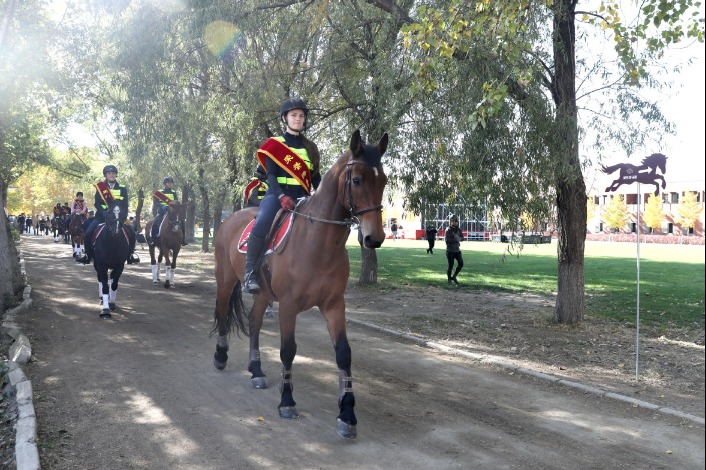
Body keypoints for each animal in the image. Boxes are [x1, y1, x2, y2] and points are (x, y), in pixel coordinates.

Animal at [212, 129, 388, 436]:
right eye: (356, 180)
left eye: (384, 181)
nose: (373, 237)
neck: (317, 243)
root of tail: (230, 219)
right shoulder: (288, 305)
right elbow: (287, 351)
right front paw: (287, 401)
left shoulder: (334, 305)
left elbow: (344, 354)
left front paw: (347, 414)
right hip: (225, 279)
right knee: (222, 313)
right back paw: (221, 357)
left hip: (262, 294)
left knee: (254, 322)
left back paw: (256, 370)